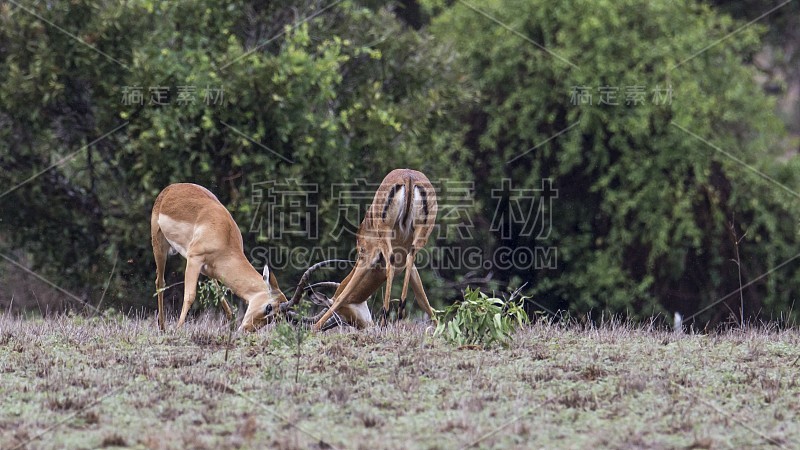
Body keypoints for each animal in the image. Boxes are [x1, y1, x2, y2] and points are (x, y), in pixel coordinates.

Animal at [150, 182, 288, 330]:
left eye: (274, 318)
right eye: (269, 307)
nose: (246, 329)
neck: (225, 235)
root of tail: (170, 188)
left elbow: (220, 292)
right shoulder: (194, 259)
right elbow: (190, 296)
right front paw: (178, 329)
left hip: (207, 269)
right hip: (159, 246)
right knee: (160, 282)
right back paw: (162, 327)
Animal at [304, 169, 438, 330]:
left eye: (343, 317)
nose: (365, 325)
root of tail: (408, 176)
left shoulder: (366, 257)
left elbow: (342, 296)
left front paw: (314, 328)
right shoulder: (410, 269)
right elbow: (423, 300)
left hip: (385, 235)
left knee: (390, 263)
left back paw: (385, 320)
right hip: (418, 241)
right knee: (408, 262)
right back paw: (399, 317)